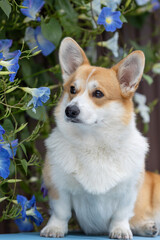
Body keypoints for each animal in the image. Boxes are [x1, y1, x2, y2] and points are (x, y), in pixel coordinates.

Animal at [40, 37, 159, 238]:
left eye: (98, 93)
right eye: (72, 89)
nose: (70, 110)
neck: (93, 142)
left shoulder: (128, 192)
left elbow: (121, 214)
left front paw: (120, 230)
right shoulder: (58, 186)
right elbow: (60, 212)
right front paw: (54, 228)